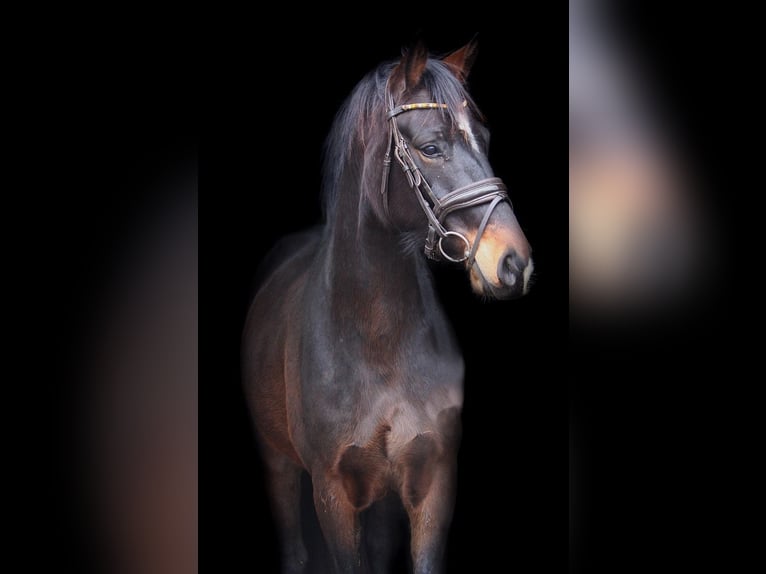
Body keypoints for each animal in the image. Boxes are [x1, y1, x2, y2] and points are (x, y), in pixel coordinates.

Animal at [242, 41, 533, 573]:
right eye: (431, 147)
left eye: (483, 138)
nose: (513, 262)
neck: (378, 344)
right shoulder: (332, 493)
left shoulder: (433, 483)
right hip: (278, 466)